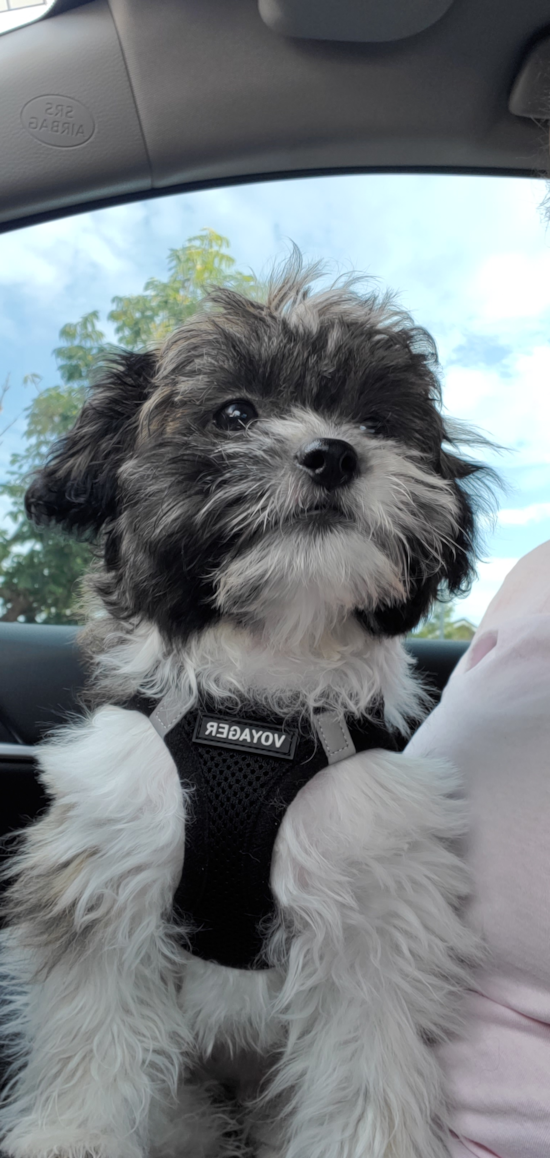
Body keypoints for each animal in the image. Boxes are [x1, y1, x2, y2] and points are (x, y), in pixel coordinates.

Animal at [0, 260, 493, 1158]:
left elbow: (367, 1060)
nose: (334, 453)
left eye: (375, 421)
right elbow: (91, 1035)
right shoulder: (110, 873)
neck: (261, 698)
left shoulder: (373, 910)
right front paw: (71, 1136)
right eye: (236, 413)